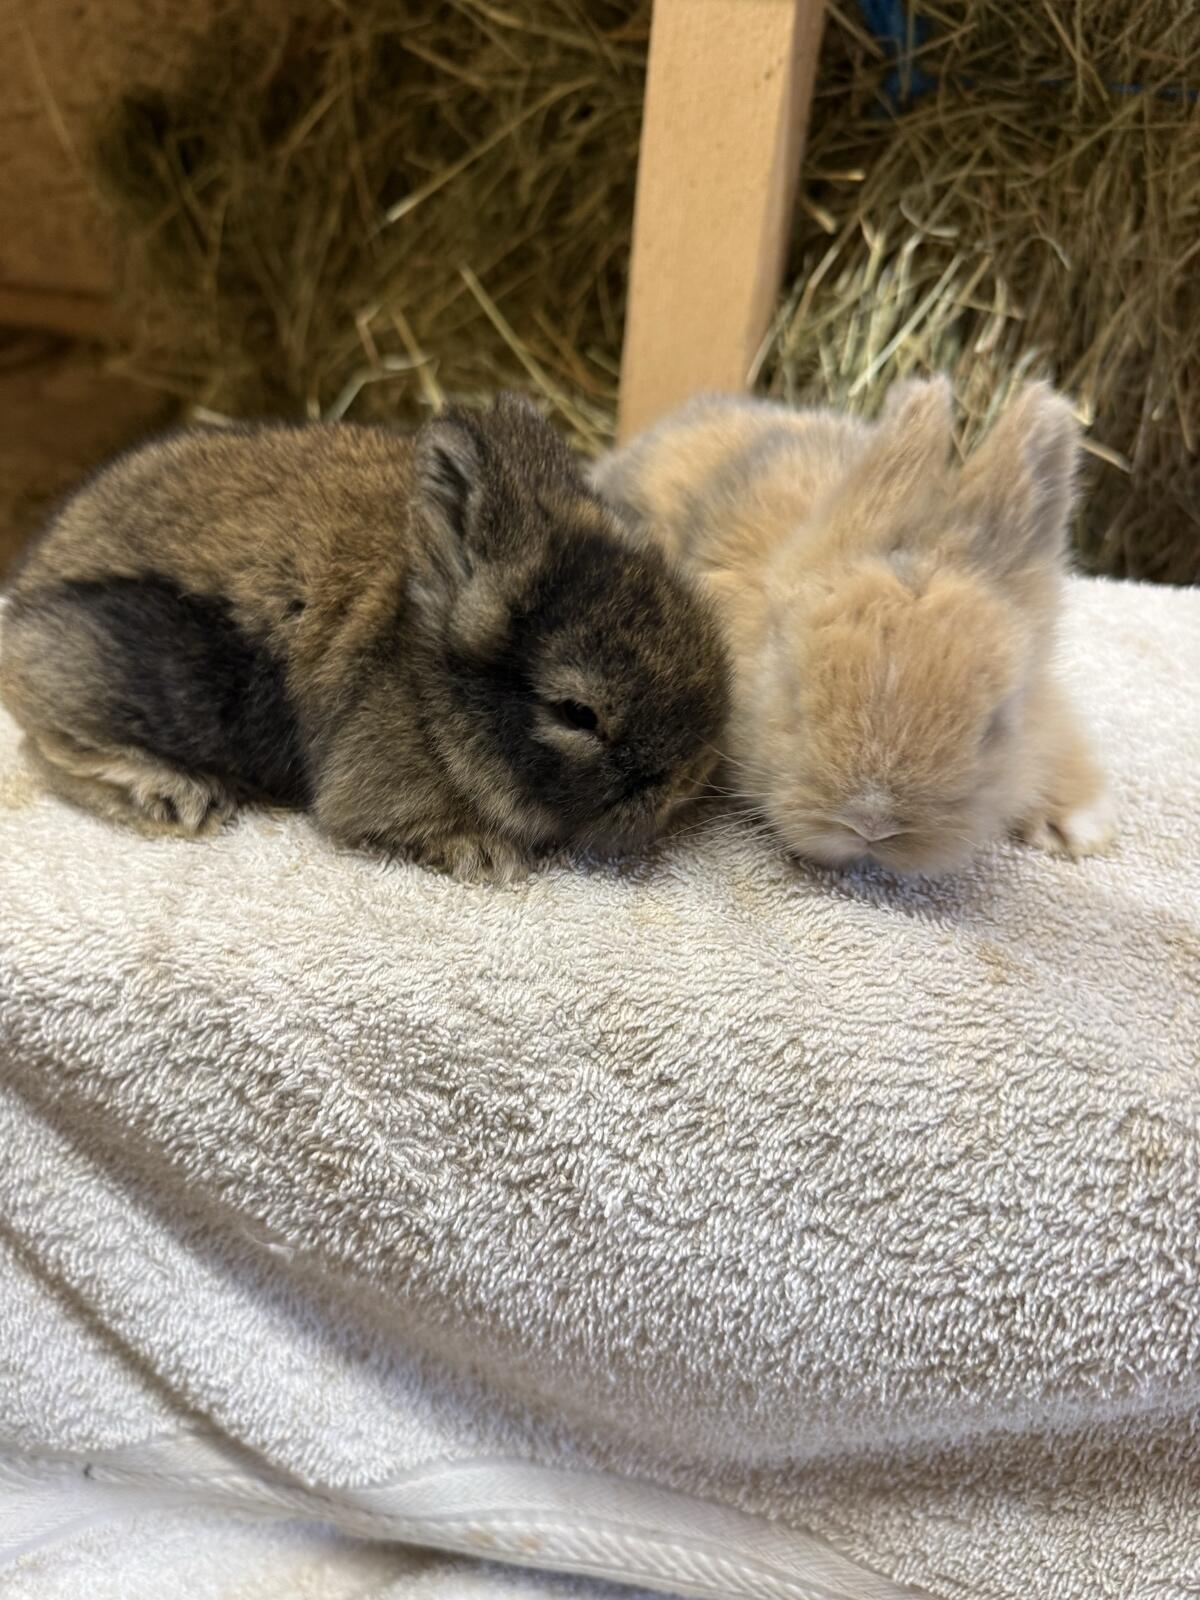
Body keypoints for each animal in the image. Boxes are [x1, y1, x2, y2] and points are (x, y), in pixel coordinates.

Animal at [0, 394, 729, 881]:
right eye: (576, 713)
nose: (687, 782)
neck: (433, 691)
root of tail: (28, 595)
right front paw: (488, 857)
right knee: (49, 745)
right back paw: (176, 794)